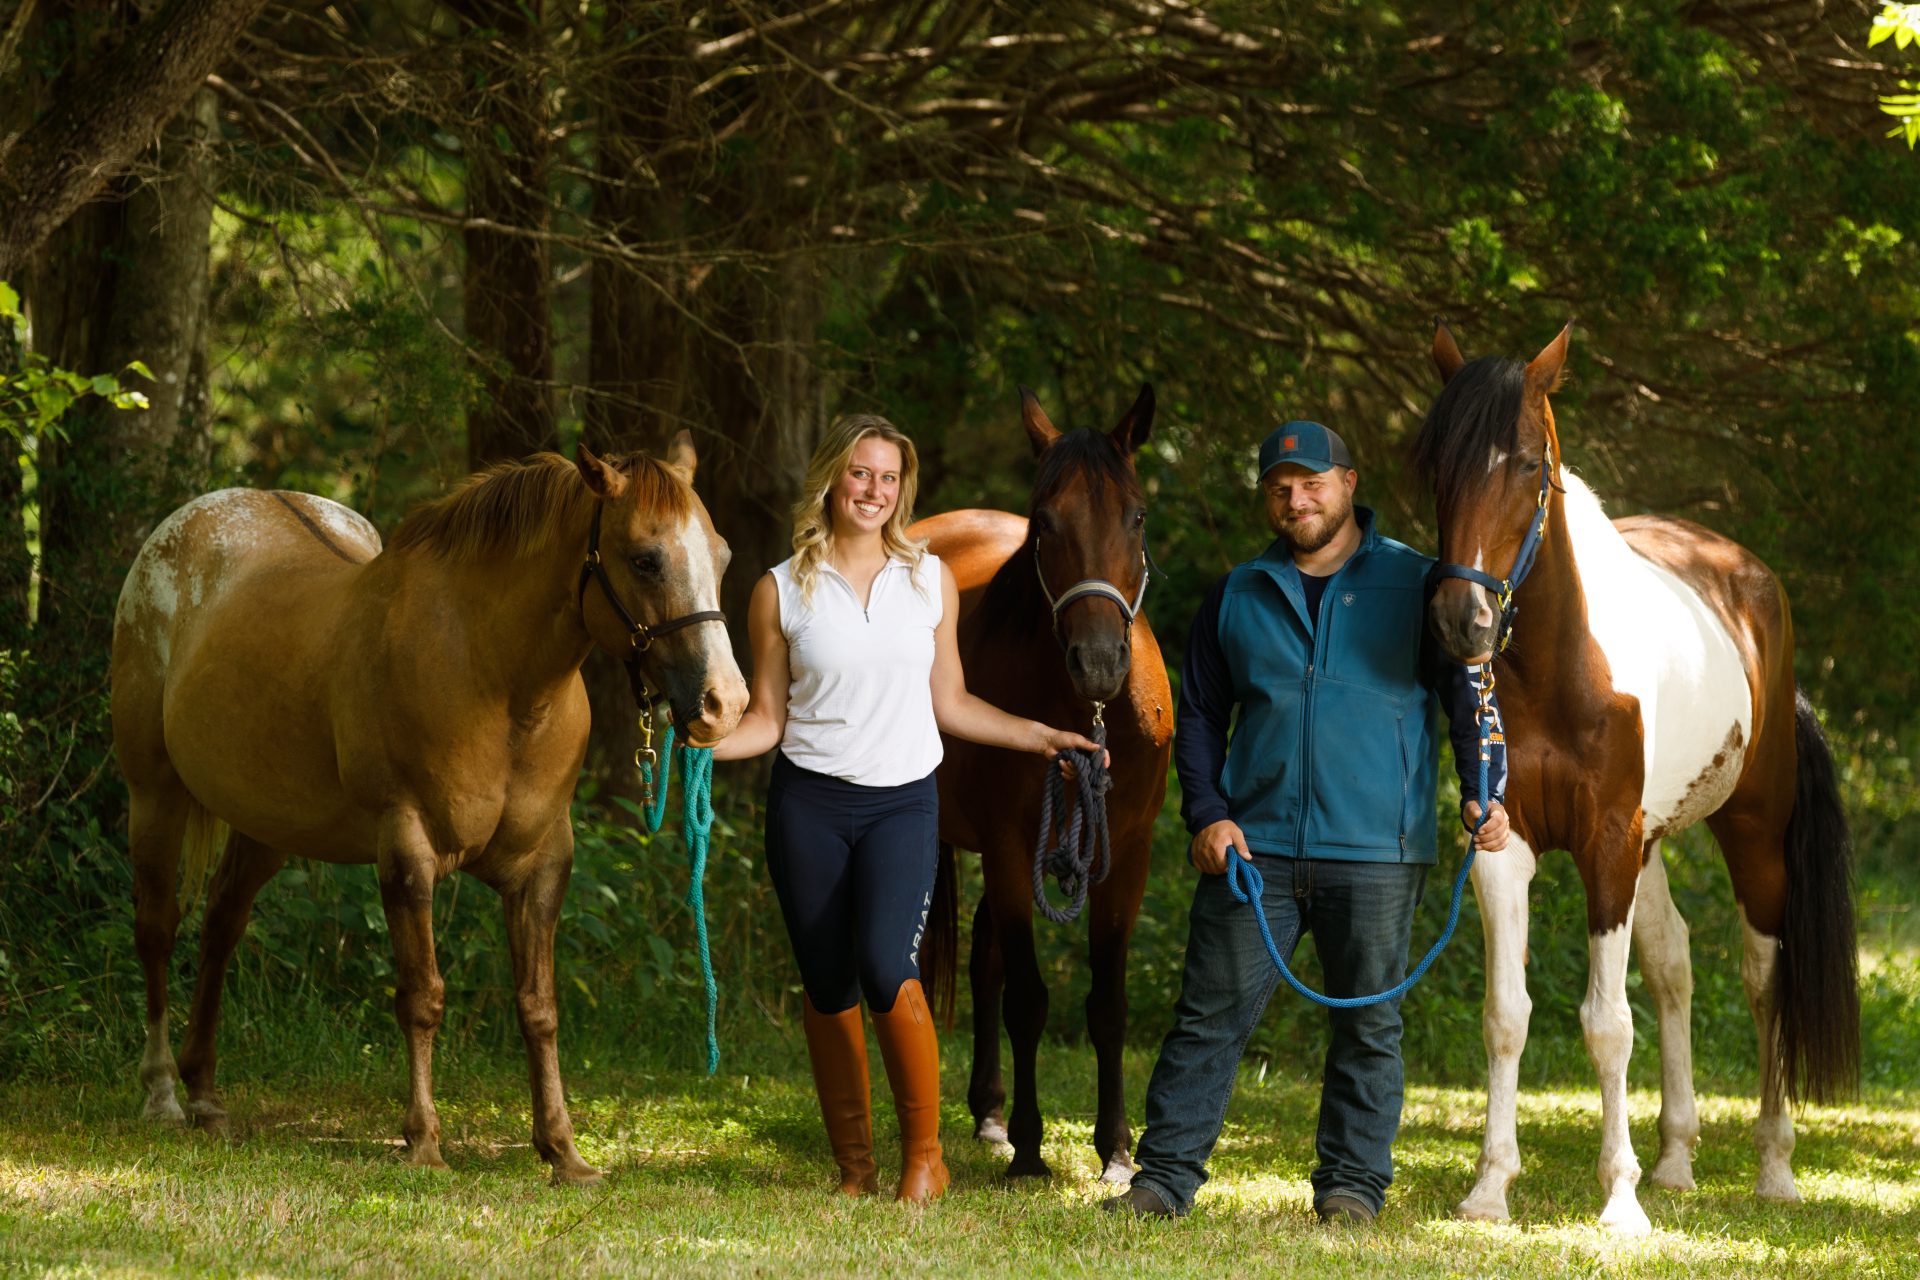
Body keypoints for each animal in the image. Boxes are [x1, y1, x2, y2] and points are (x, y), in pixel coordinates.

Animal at [109, 436, 747, 1184]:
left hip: (269, 823)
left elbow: (539, 1006)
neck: (496, 679)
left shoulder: (543, 865)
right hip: (153, 796)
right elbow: (422, 997)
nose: (725, 703)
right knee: (157, 930)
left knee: (220, 928)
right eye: (646, 558)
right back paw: (161, 1093)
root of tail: (188, 524)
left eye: (722, 554)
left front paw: (562, 1150)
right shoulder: (407, 848)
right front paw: (423, 1141)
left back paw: (206, 1094)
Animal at [913, 385, 1174, 1182]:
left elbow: (1107, 1006)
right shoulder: (1006, 845)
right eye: (1047, 521)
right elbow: (1029, 1000)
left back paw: (990, 1112)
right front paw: (1032, 1152)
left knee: (984, 958)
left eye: (1136, 515)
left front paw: (1116, 1147)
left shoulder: (1125, 854)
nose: (1099, 661)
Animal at [1413, 322, 1858, 1234]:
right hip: (1652, 844)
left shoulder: (1606, 848)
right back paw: (1677, 1159)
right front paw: (1488, 1188)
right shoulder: (1503, 848)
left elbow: (1607, 1023)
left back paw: (1774, 1167)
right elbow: (1507, 1015)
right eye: (1434, 463)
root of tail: (1748, 578)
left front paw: (1617, 1199)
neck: (1560, 669)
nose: (1459, 621)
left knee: (1763, 977)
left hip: (1751, 835)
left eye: (1527, 464)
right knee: (1673, 962)